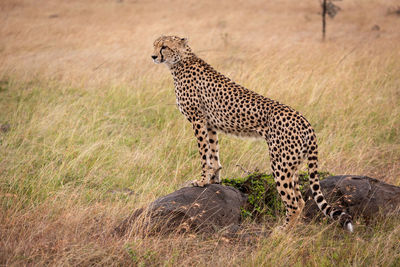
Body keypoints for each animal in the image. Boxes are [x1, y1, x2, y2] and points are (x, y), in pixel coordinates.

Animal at [151, 35, 354, 232]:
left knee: (293, 203)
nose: (153, 56)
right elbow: (213, 152)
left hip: (280, 165)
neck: (180, 61)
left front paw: (201, 181)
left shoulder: (198, 119)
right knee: (301, 200)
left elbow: (203, 153)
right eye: (155, 45)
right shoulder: (210, 124)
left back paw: (282, 231)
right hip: (293, 165)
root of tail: (304, 120)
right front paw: (214, 179)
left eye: (164, 46)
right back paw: (291, 230)